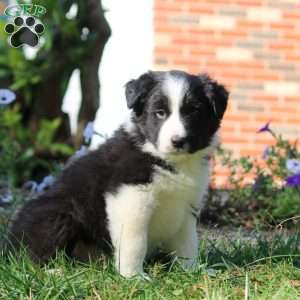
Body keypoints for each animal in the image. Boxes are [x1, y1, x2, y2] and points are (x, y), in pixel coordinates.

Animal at [8, 69, 229, 276]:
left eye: (193, 112)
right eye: (160, 112)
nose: (178, 141)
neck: (167, 160)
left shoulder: (186, 205)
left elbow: (187, 243)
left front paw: (193, 271)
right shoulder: (130, 198)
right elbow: (135, 242)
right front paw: (134, 277)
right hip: (57, 213)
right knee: (31, 256)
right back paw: (54, 271)